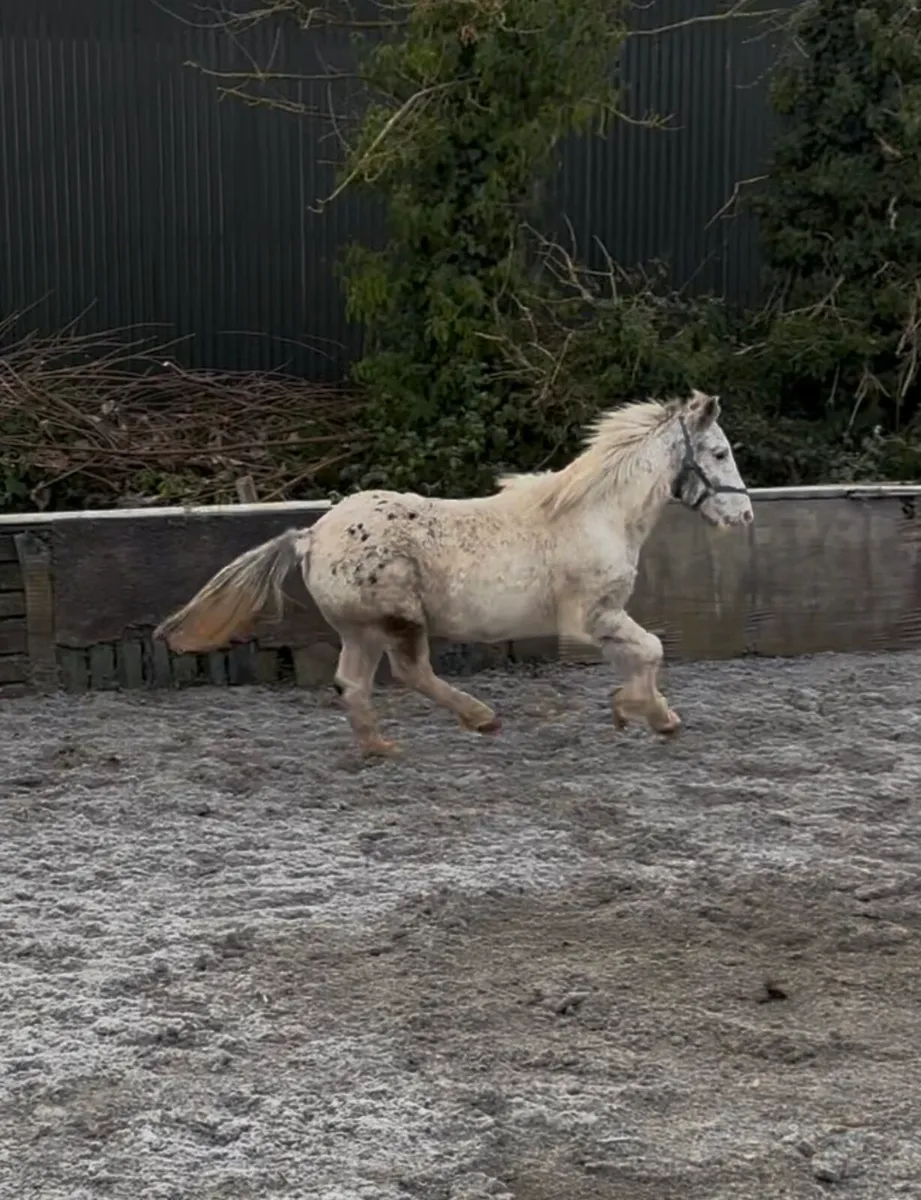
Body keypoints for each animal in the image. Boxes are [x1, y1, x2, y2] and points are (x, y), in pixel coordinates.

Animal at [154, 389, 753, 756]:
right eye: (720, 452)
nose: (745, 516)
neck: (595, 515)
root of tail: (311, 537)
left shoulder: (603, 619)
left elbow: (638, 656)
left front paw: (643, 713)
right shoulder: (593, 616)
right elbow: (651, 649)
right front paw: (646, 714)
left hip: (360, 629)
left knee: (352, 684)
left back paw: (381, 748)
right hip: (397, 621)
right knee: (411, 672)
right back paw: (481, 717)